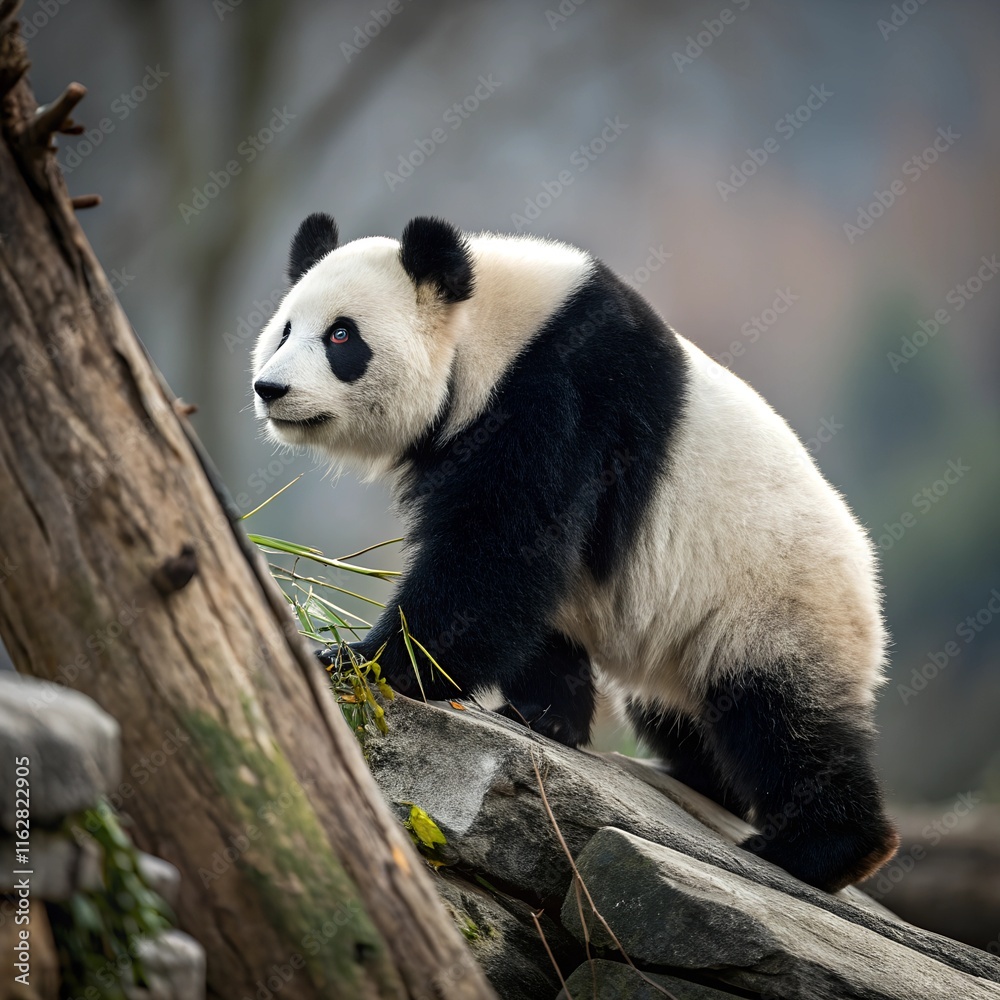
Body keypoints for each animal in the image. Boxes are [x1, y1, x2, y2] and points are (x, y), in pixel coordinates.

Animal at [251, 212, 899, 893]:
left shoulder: (563, 394)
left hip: (775, 600)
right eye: (285, 330)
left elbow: (500, 548)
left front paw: (362, 660)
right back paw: (703, 780)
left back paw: (821, 848)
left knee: (780, 720)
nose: (271, 388)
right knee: (691, 717)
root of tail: (868, 576)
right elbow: (531, 588)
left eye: (341, 336)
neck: (489, 332)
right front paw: (548, 714)